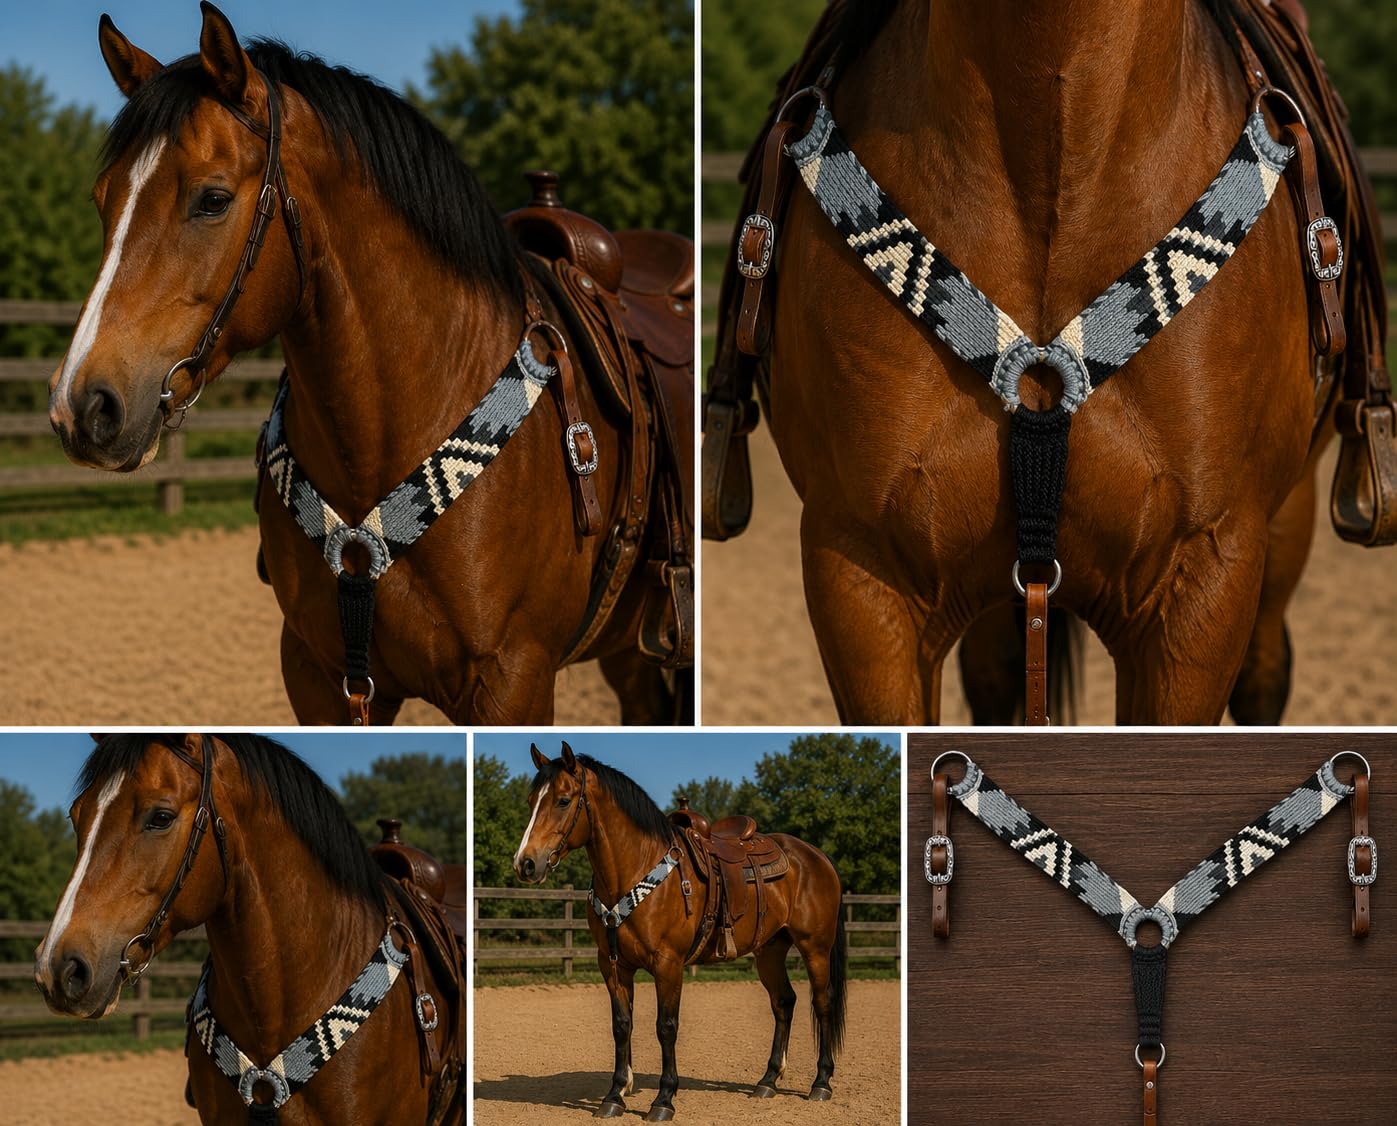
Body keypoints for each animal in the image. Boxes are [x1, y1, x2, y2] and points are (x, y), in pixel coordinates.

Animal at [512, 742, 849, 1122]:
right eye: (530, 800)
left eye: (563, 800)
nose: (525, 863)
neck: (635, 867)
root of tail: (817, 857)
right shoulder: (612, 964)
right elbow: (621, 1025)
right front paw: (614, 1096)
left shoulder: (668, 963)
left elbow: (666, 1026)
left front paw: (663, 1099)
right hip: (770, 950)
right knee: (783, 1002)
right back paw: (767, 1081)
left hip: (815, 948)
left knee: (822, 1001)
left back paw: (821, 1083)